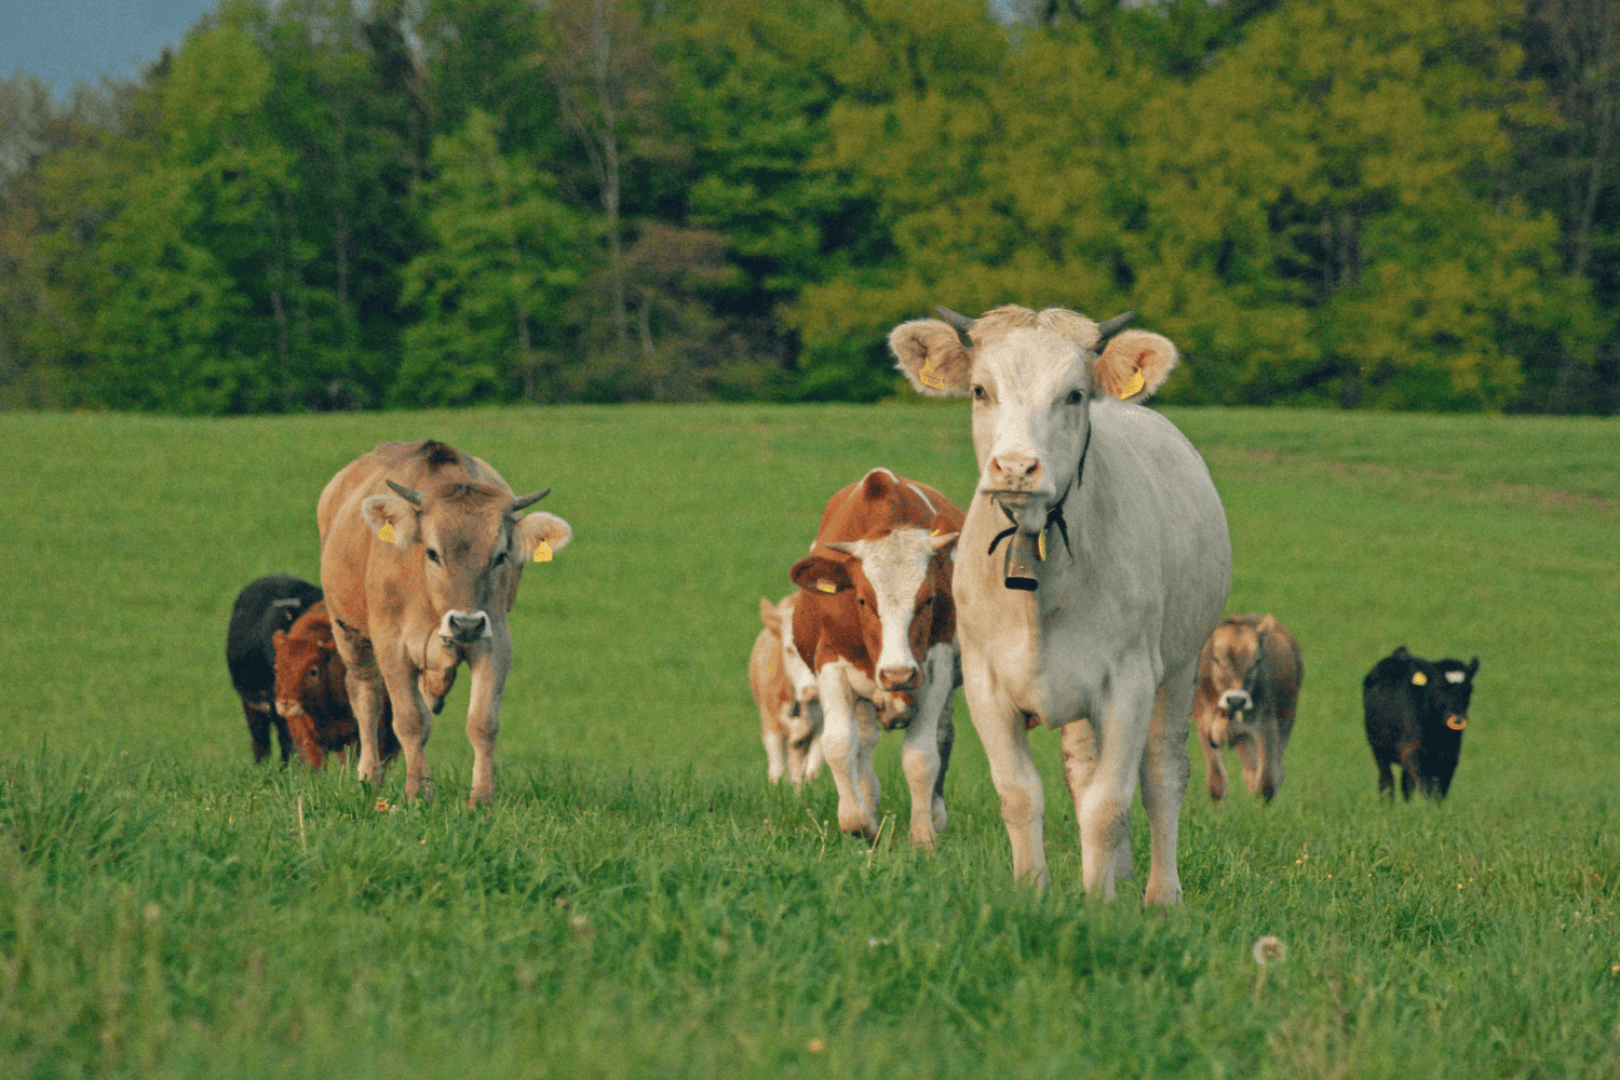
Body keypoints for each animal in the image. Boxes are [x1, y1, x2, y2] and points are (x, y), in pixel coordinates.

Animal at [317, 440, 573, 807]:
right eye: (433, 552)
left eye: (500, 556)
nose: (465, 623)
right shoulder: (391, 646)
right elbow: (408, 721)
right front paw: (417, 793)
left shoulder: (495, 641)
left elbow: (482, 723)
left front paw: (481, 799)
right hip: (349, 634)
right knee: (366, 696)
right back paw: (369, 777)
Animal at [789, 469, 965, 846]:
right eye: (863, 600)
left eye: (928, 599)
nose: (898, 674)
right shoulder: (830, 662)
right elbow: (839, 744)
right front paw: (858, 822)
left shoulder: (938, 667)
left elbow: (921, 756)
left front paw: (923, 835)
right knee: (865, 740)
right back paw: (868, 801)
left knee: (943, 735)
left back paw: (936, 815)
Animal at [891, 304, 1230, 904]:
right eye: (980, 390)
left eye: (1074, 394)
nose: (1015, 468)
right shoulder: (986, 683)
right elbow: (1022, 793)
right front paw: (1035, 889)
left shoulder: (1129, 682)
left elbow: (1109, 803)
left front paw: (1097, 905)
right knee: (1083, 768)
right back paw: (1119, 872)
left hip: (1179, 667)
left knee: (1162, 774)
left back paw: (1161, 895)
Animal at [1191, 614, 1303, 803]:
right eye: (1216, 658)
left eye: (1256, 660)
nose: (1237, 700)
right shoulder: (1206, 728)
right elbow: (1217, 782)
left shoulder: (1266, 728)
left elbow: (1266, 782)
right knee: (1251, 771)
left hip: (1286, 718)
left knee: (1274, 771)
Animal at [1363, 646, 1479, 801]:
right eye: (1439, 687)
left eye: (1469, 689)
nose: (1457, 717)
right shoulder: (1410, 750)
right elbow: (1426, 786)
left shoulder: (1451, 755)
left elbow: (1440, 790)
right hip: (1379, 749)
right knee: (1387, 782)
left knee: (1405, 785)